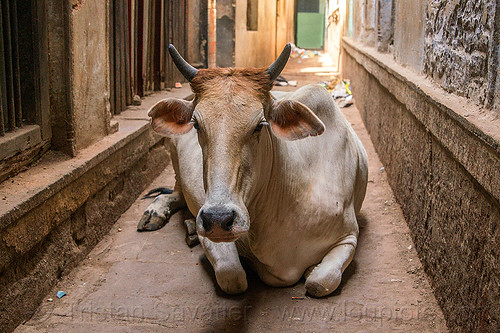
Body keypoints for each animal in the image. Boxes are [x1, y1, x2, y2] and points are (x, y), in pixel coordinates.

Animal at [137, 44, 368, 296]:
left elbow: (320, 282)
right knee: (174, 193)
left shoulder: (348, 236)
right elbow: (233, 278)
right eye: (196, 124)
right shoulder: (210, 233)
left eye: (260, 125)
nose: (218, 218)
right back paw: (157, 214)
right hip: (173, 155)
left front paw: (311, 271)